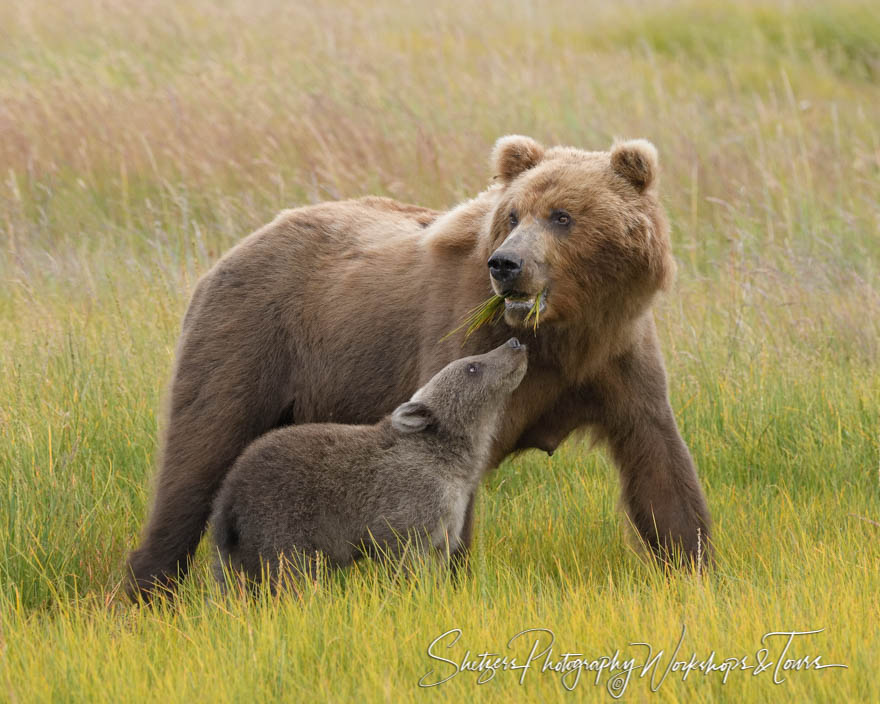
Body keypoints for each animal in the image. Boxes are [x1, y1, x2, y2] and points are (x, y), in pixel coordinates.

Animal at [211, 336, 528, 588]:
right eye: (472, 367)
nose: (514, 342)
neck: (455, 465)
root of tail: (230, 491)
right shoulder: (408, 510)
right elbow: (405, 562)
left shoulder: (448, 521)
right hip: (280, 523)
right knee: (290, 574)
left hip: (235, 543)